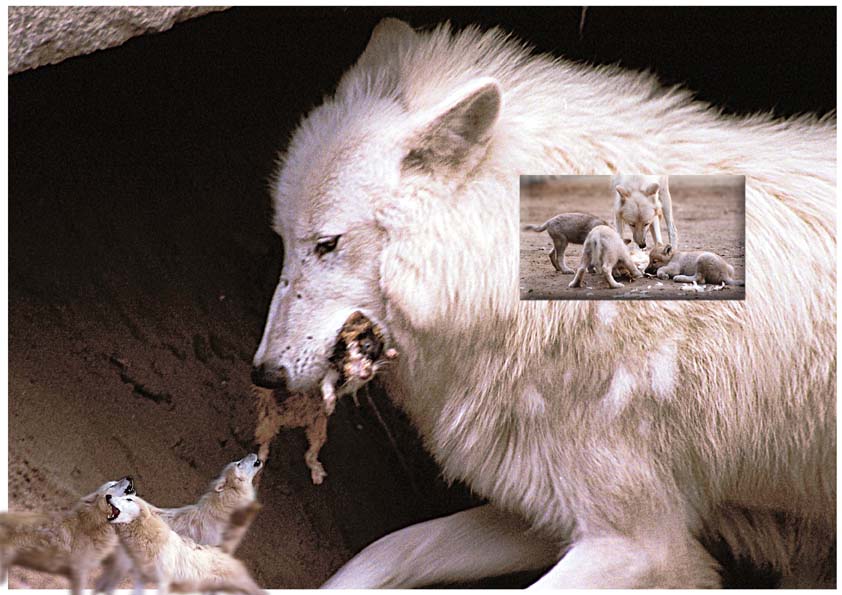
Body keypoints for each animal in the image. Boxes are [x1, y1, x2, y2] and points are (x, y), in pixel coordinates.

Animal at [249, 19, 832, 592]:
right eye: (282, 239)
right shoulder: (545, 509)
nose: (264, 374)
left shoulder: (646, 544)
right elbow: (387, 551)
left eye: (327, 244)